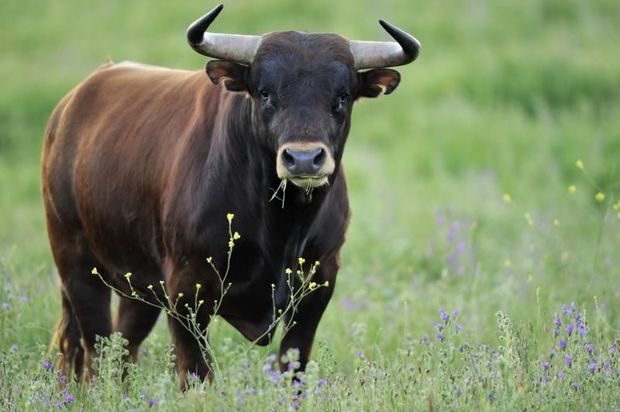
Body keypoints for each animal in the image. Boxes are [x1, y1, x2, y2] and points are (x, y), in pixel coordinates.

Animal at [41, 4, 418, 390]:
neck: (281, 226)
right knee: (94, 352)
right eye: (265, 92)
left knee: (122, 347)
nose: (303, 158)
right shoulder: (186, 290)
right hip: (76, 264)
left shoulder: (319, 283)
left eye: (341, 96)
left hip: (138, 287)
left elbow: (293, 365)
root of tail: (71, 104)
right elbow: (196, 374)